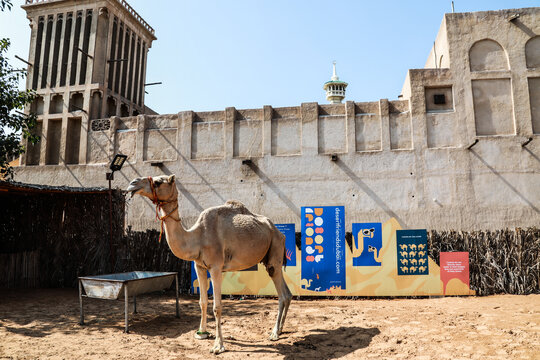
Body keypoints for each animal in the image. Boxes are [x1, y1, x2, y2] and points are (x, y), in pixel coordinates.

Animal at [127, 175, 294, 354]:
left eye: (159, 182)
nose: (133, 184)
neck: (197, 237)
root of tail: (279, 232)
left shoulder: (216, 267)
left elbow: (217, 306)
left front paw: (218, 346)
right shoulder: (199, 266)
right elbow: (202, 302)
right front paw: (201, 333)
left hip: (275, 248)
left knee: (280, 290)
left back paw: (274, 333)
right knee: (287, 293)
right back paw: (280, 329)